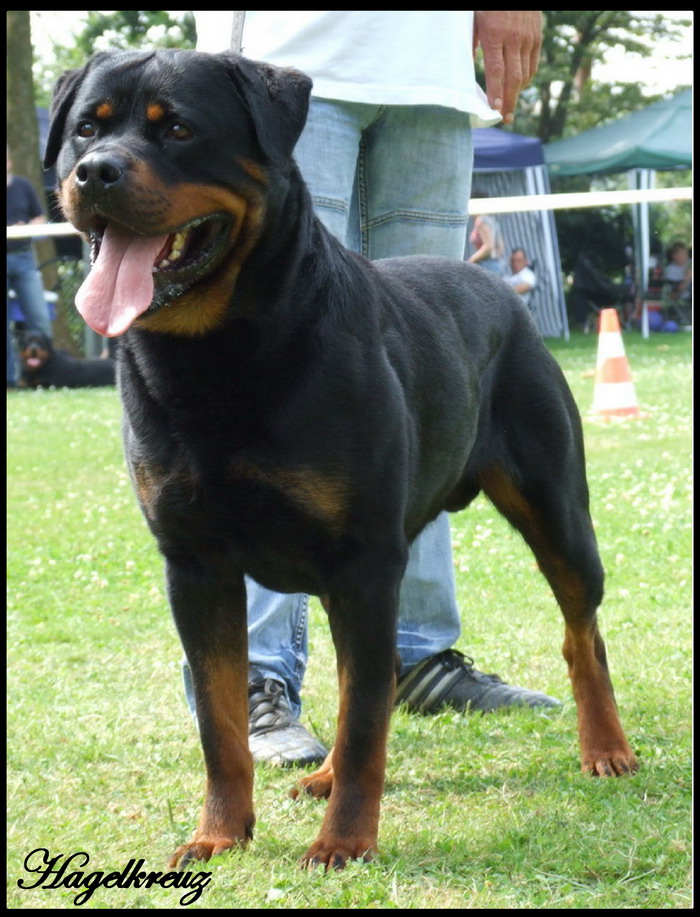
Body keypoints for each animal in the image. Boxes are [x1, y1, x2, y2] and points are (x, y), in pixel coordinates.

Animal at [45, 49, 638, 871]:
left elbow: (361, 725)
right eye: (85, 129)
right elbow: (223, 724)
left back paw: (605, 746)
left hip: (556, 509)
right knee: (371, 677)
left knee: (582, 635)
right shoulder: (195, 564)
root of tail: (496, 287)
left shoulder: (363, 559)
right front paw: (219, 833)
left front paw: (344, 842)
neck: (217, 356)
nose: (96, 172)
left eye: (180, 130)